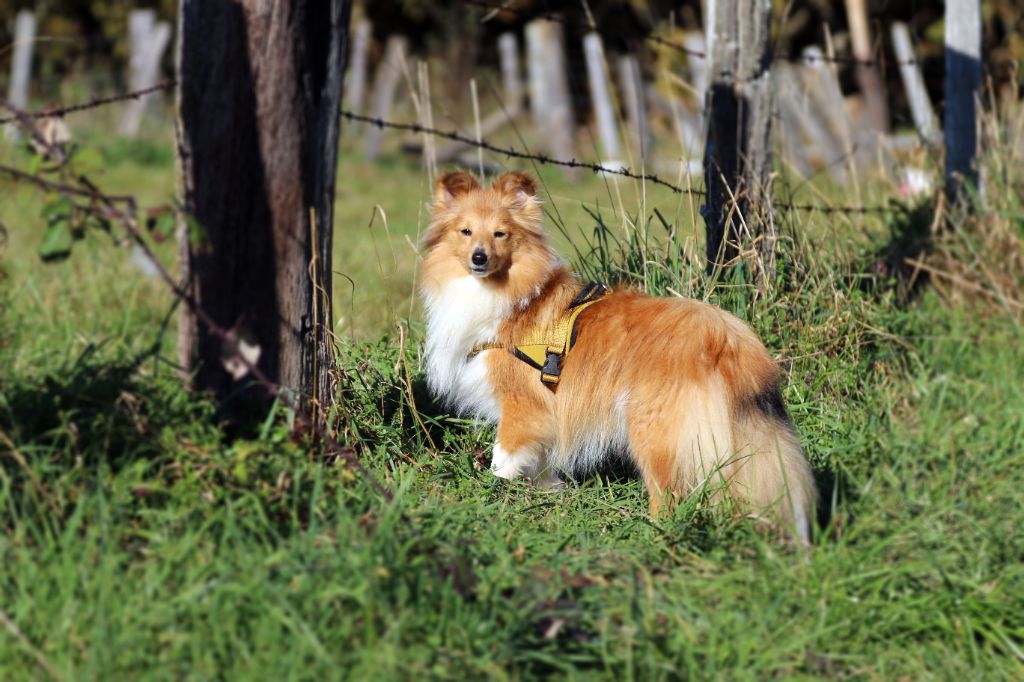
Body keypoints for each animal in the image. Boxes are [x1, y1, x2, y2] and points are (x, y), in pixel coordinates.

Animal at [417, 168, 815, 536]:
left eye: (500, 234)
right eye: (465, 232)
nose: (479, 258)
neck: (511, 296)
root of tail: (727, 337)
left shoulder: (520, 402)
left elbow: (504, 456)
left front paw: (496, 488)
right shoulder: (546, 411)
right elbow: (541, 458)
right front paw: (547, 492)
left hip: (655, 431)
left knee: (668, 494)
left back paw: (654, 533)